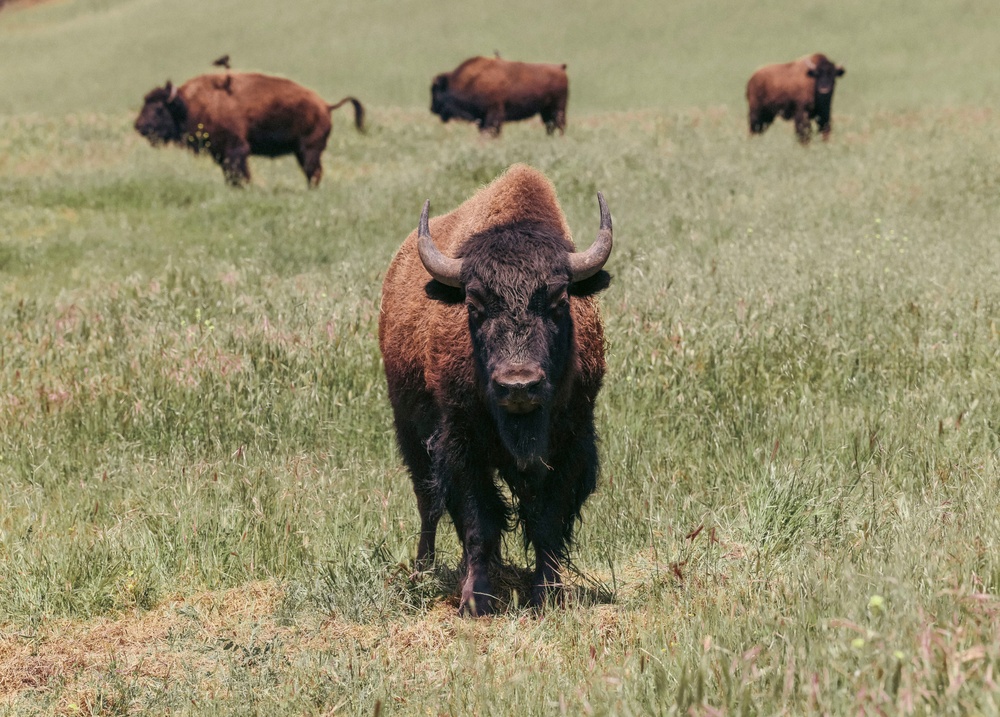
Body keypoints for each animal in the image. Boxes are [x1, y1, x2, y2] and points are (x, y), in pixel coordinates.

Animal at [133, 70, 364, 186]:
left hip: (309, 149)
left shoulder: (235, 149)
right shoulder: (220, 153)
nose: (138, 126)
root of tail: (325, 105)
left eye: (159, 108)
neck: (187, 105)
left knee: (313, 172)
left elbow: (239, 173)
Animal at [378, 164, 612, 616]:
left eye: (559, 300)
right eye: (474, 304)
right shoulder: (460, 444)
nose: (519, 385)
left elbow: (547, 522)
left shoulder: (571, 446)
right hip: (409, 432)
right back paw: (423, 571)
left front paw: (548, 594)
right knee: (428, 503)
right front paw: (476, 600)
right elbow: (479, 521)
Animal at [430, 56, 572, 136]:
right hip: (546, 111)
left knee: (559, 125)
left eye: (435, 91)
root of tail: (560, 68)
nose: (432, 109)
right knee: (550, 126)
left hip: (557, 109)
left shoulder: (493, 114)